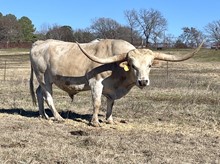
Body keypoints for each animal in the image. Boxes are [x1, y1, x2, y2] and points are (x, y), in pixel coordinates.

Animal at [29, 39, 203, 126]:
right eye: (132, 65)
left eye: (150, 65)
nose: (143, 81)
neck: (116, 67)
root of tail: (40, 42)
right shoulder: (96, 83)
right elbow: (97, 103)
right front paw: (95, 122)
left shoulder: (111, 89)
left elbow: (110, 104)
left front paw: (110, 120)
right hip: (44, 78)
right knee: (48, 97)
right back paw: (57, 117)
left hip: (45, 80)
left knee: (39, 93)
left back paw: (43, 115)